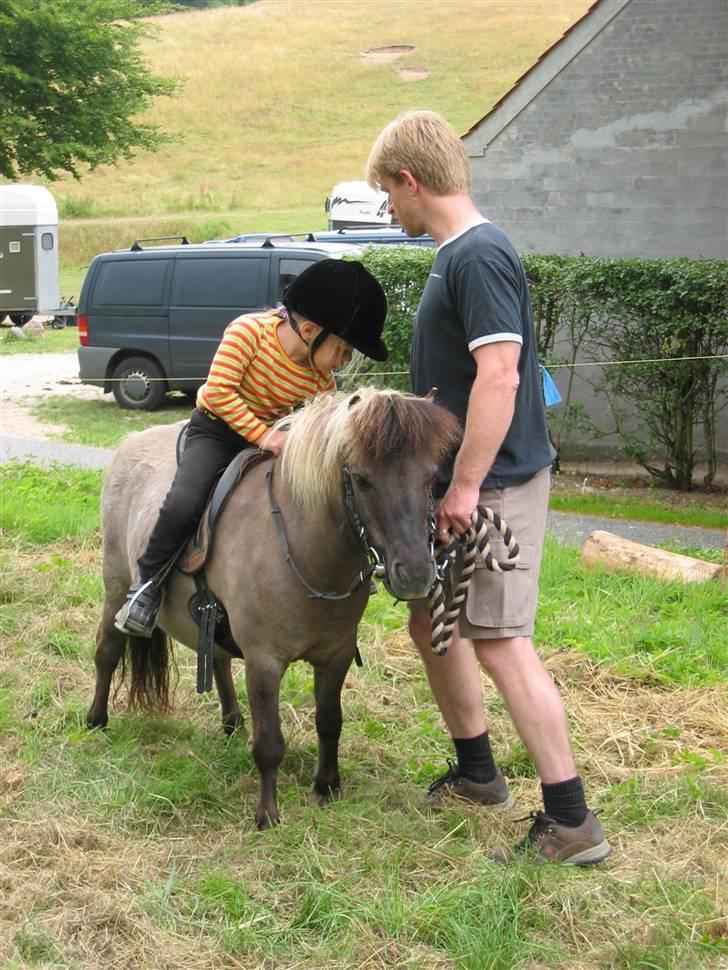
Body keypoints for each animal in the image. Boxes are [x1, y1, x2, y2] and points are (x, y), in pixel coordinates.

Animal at [86, 390, 460, 828]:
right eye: (362, 479)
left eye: (431, 479)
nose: (416, 573)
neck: (302, 547)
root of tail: (130, 442)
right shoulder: (264, 661)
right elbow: (269, 743)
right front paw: (268, 814)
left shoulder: (335, 656)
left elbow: (329, 722)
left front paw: (327, 786)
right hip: (115, 587)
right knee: (107, 652)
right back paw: (96, 720)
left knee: (217, 658)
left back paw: (232, 722)